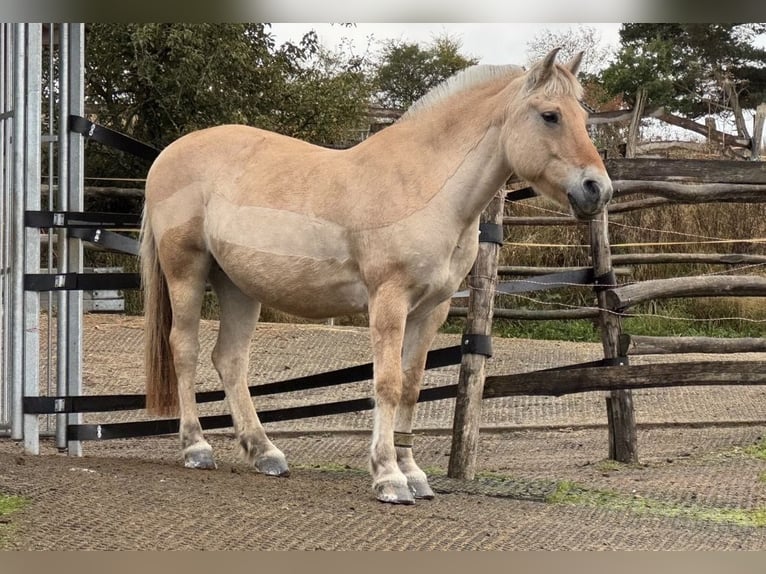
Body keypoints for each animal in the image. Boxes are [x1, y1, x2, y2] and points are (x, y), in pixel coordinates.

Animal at [140, 48, 613, 505]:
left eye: (583, 116)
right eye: (550, 115)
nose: (598, 189)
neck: (425, 186)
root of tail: (167, 155)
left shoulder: (431, 310)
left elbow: (411, 386)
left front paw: (414, 475)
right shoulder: (389, 300)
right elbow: (386, 383)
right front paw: (388, 477)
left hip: (238, 285)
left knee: (231, 360)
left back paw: (265, 453)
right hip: (187, 270)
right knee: (185, 349)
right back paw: (196, 447)